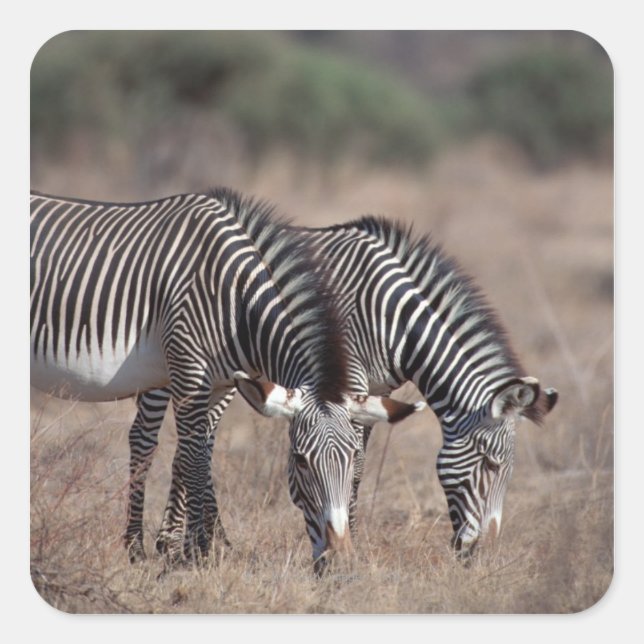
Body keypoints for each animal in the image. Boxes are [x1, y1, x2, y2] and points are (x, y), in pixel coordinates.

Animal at [30, 188, 422, 571]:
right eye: (299, 460)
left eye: (353, 456)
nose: (339, 562)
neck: (235, 299)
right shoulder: (188, 370)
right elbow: (193, 458)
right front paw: (196, 554)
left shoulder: (218, 383)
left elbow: (202, 452)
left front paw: (194, 548)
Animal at [124, 214, 558, 561]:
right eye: (491, 465)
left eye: (509, 471)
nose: (484, 555)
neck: (394, 319)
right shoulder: (348, 379)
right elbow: (355, 462)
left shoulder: (372, 393)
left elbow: (356, 462)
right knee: (147, 435)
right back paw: (156, 544)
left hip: (225, 373)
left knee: (199, 441)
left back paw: (198, 542)